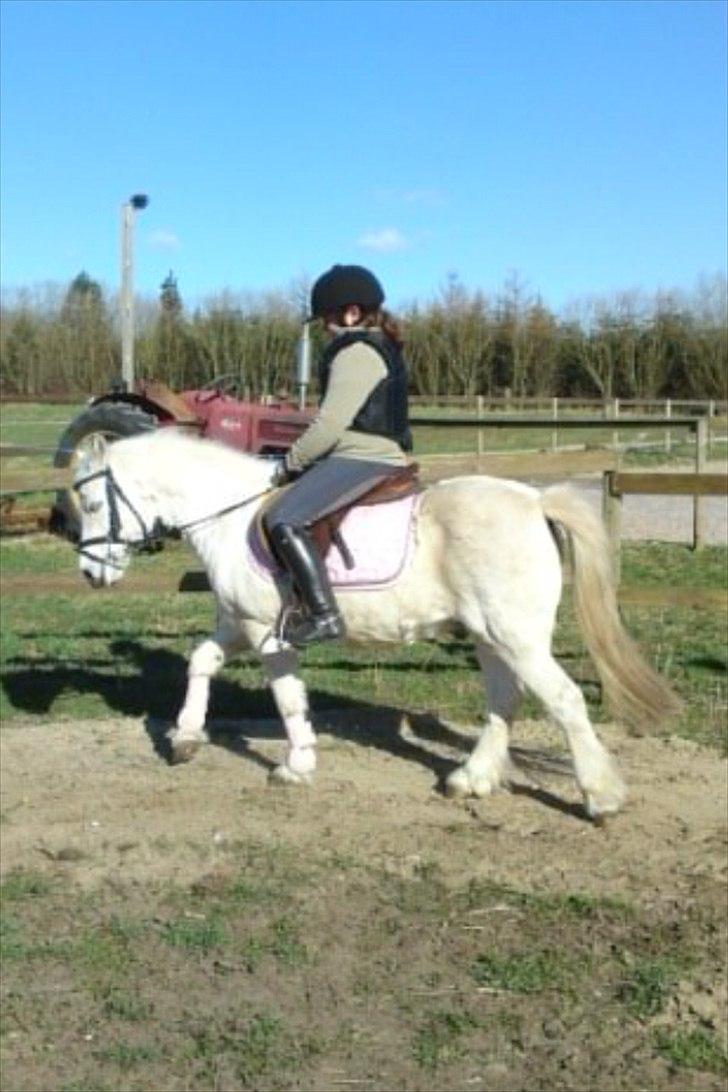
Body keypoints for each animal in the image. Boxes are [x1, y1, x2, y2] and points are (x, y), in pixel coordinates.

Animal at [72, 425, 676, 821]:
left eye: (92, 504)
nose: (89, 573)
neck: (230, 515)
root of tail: (534, 500)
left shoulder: (268, 632)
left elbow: (287, 697)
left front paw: (296, 764)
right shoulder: (239, 623)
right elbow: (201, 661)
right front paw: (186, 737)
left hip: (517, 637)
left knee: (564, 701)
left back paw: (601, 797)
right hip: (490, 637)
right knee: (504, 701)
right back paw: (470, 780)